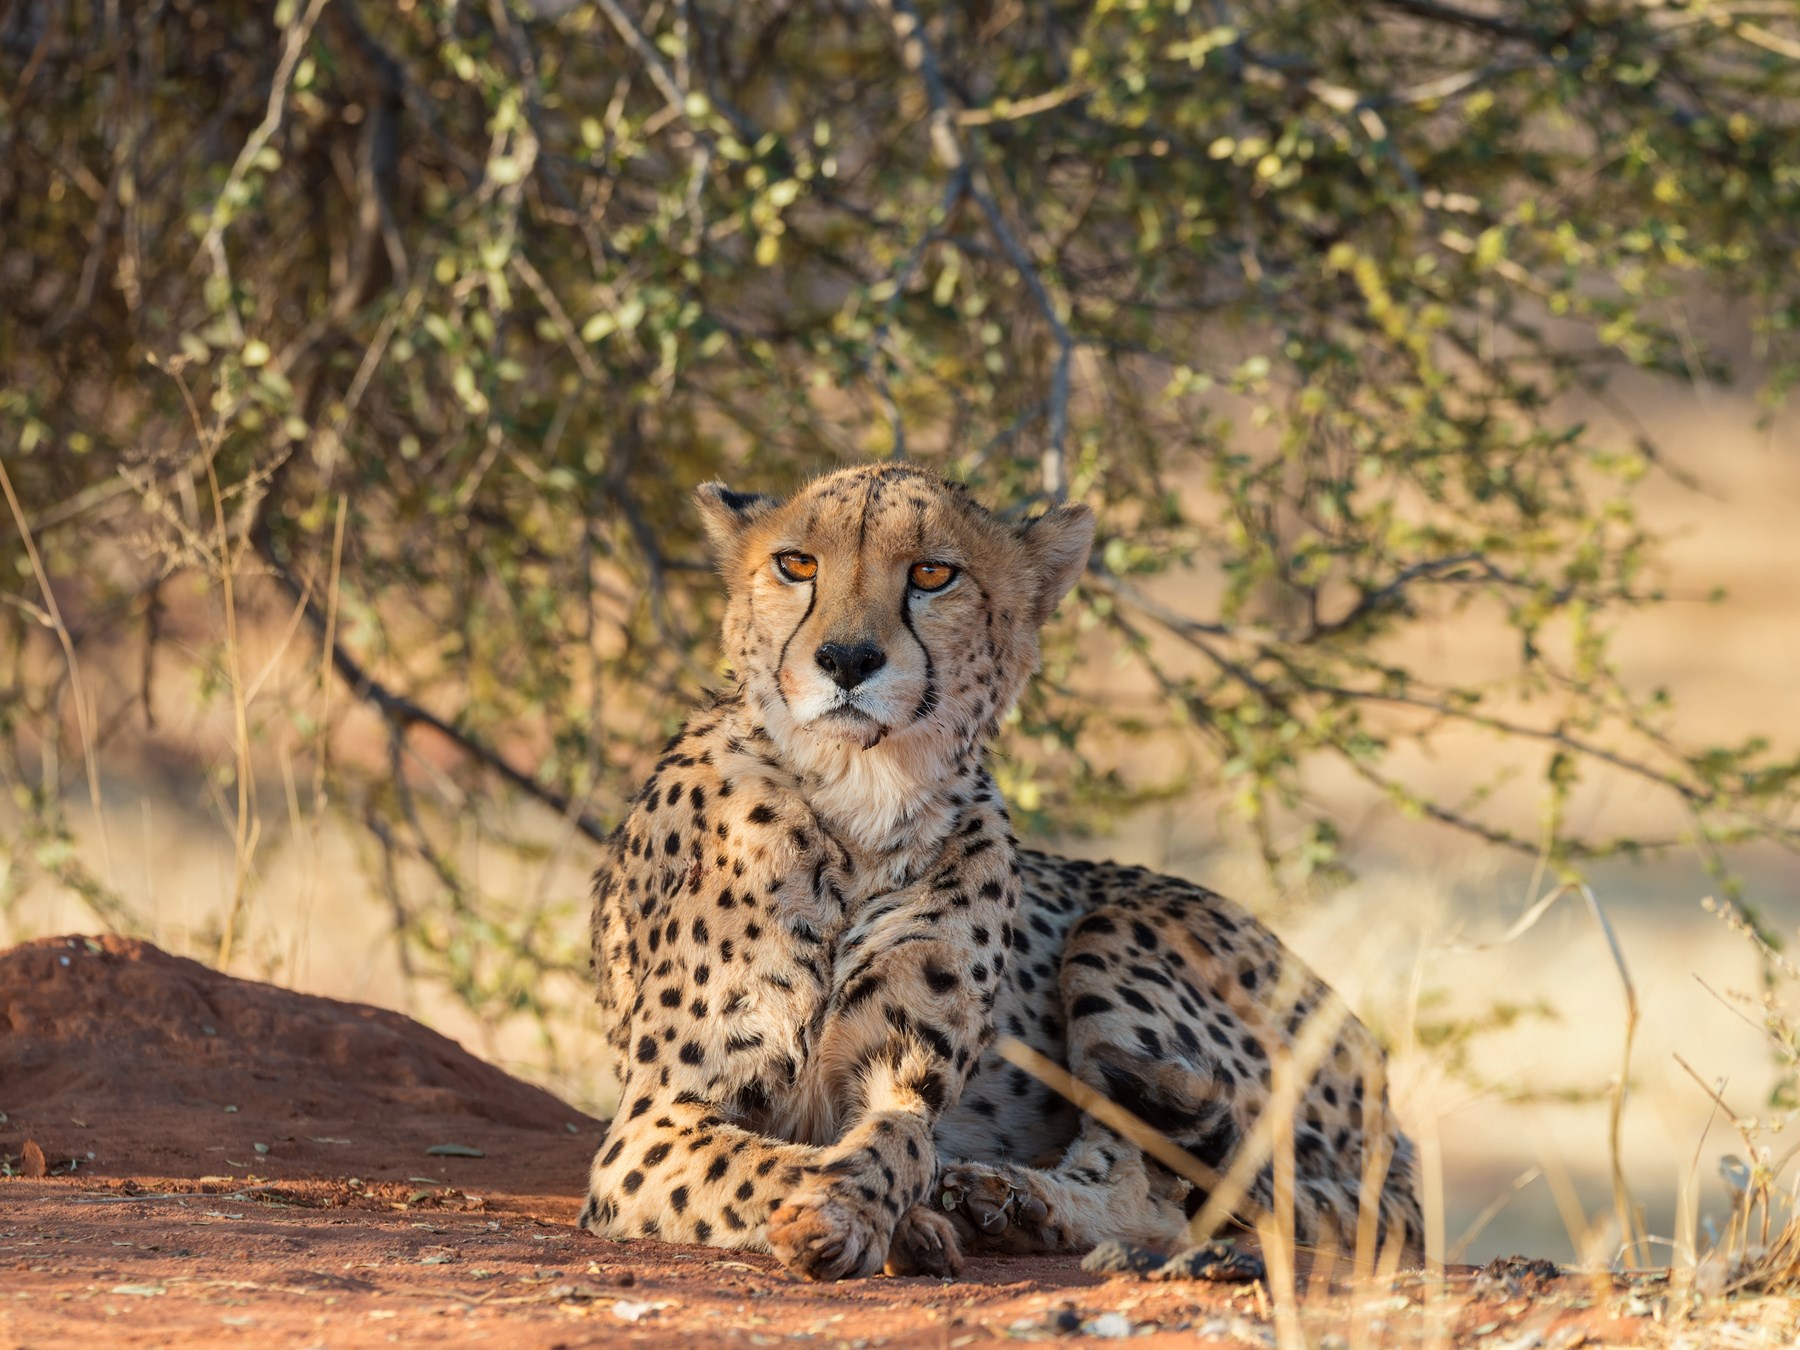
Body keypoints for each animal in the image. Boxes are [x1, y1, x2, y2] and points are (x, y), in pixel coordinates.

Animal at [579, 464, 1418, 1281]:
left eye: (932, 573)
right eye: (797, 564)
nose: (847, 659)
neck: (862, 804)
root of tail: (1381, 1079)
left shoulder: (900, 1073)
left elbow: (901, 1140)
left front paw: (862, 1214)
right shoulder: (657, 1120)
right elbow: (777, 1158)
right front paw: (871, 1219)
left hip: (1121, 934)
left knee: (1154, 1192)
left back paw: (1012, 1198)